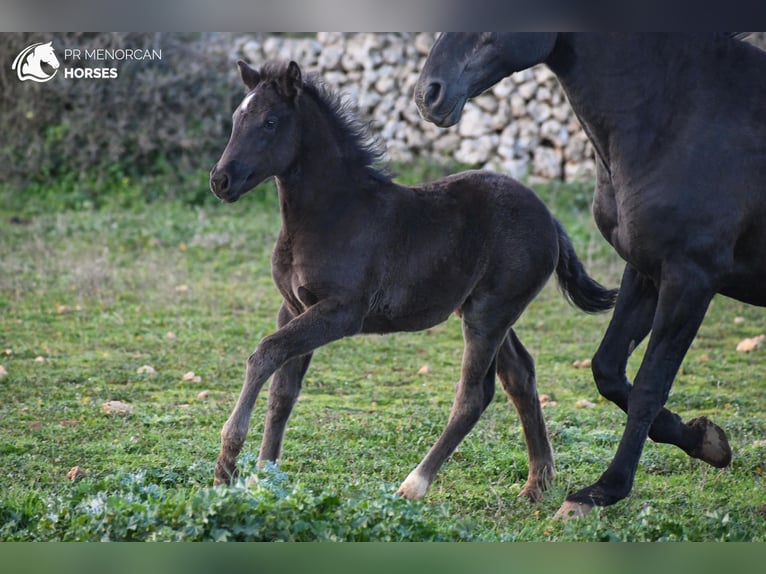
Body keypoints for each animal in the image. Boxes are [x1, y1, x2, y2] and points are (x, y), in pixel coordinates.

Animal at [208, 59, 616, 504]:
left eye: (270, 121)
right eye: (236, 119)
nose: (220, 180)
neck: (331, 214)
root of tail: (549, 218)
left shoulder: (340, 313)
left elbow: (264, 354)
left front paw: (228, 465)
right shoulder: (293, 306)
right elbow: (283, 391)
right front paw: (262, 477)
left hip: (488, 316)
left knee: (474, 396)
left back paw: (414, 484)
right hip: (488, 312)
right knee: (520, 377)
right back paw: (537, 482)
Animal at [420, 33, 766, 520]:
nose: (429, 93)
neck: (680, 114)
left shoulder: (691, 277)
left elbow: (649, 386)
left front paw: (601, 490)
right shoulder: (646, 271)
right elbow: (608, 370)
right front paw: (705, 440)